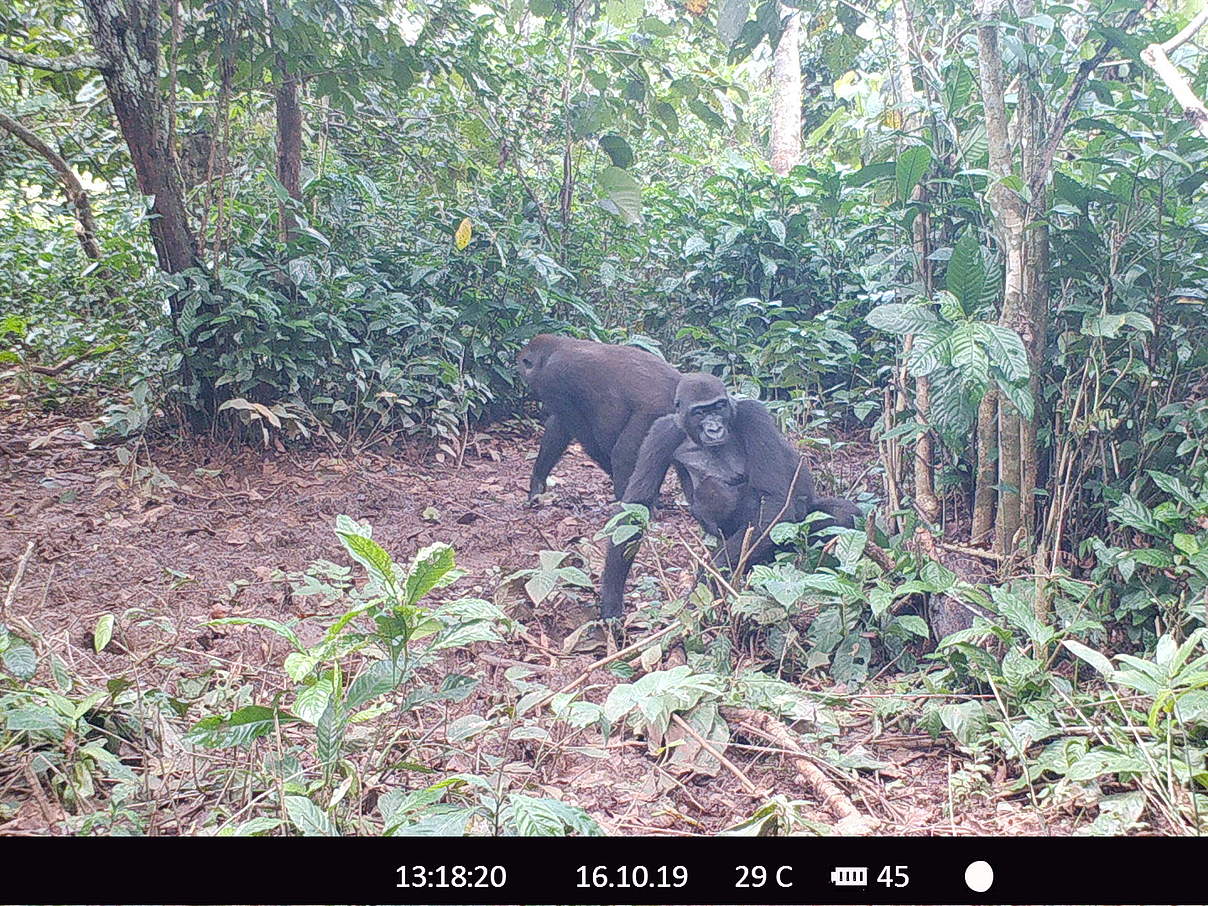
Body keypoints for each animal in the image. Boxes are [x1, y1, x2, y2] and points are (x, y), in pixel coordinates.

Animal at [517, 333, 686, 504]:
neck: (553, 350)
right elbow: (557, 431)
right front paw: (538, 480)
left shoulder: (553, 380)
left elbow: (584, 433)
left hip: (656, 413)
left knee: (623, 454)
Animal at [594, 372, 860, 623]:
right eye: (701, 412)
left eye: (719, 407)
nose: (714, 428)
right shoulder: (662, 433)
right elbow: (635, 507)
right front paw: (611, 601)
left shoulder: (754, 415)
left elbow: (774, 502)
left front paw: (709, 576)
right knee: (712, 492)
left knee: (843, 515)